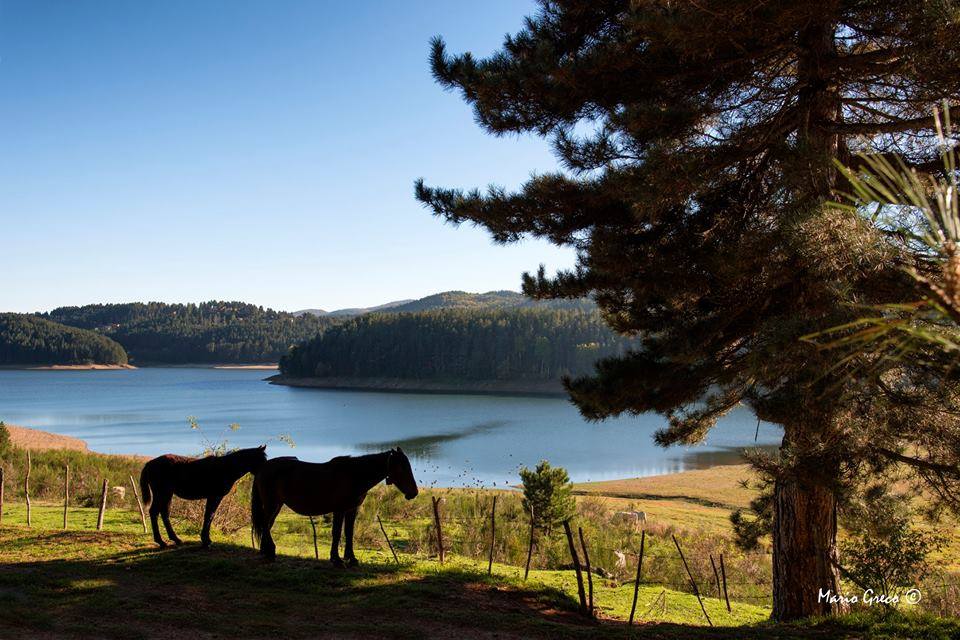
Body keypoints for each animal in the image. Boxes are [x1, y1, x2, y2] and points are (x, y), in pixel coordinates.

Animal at [253, 448, 418, 564]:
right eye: (402, 468)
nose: (414, 492)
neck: (354, 475)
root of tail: (263, 467)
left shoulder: (352, 510)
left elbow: (349, 533)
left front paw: (351, 559)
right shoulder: (339, 510)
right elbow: (337, 533)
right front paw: (336, 559)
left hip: (277, 505)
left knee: (267, 525)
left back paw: (266, 551)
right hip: (271, 504)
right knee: (265, 524)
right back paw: (271, 551)